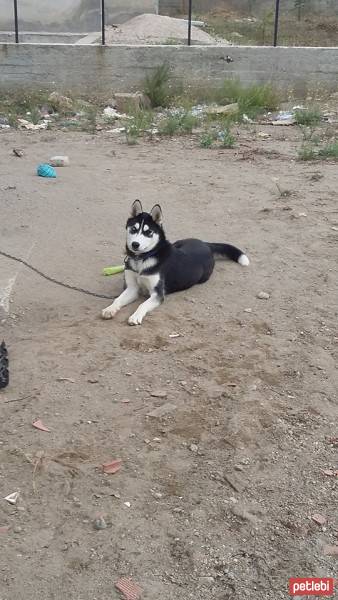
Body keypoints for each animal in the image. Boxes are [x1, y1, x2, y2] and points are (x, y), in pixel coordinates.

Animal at [101, 199, 250, 326]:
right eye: (133, 229)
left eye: (148, 232)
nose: (135, 244)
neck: (142, 260)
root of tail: (205, 244)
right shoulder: (132, 288)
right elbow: (118, 299)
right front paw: (110, 309)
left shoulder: (157, 294)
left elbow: (142, 304)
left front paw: (136, 316)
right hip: (176, 243)